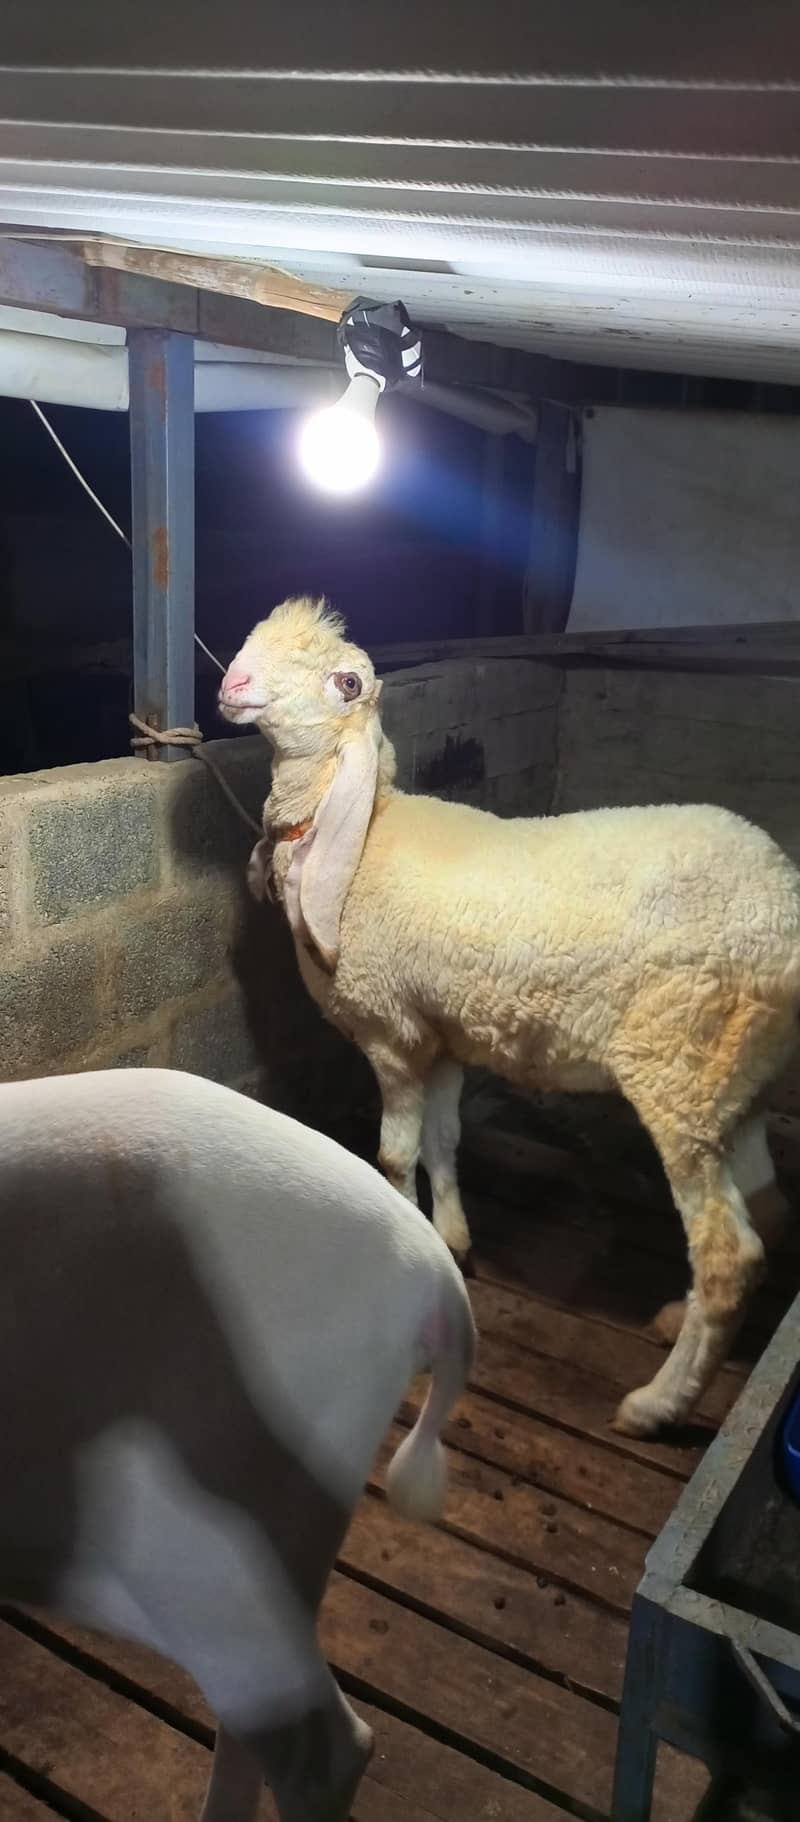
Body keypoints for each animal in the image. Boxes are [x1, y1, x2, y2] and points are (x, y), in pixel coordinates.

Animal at [219, 596, 800, 1440]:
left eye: (347, 682)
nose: (232, 683)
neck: (362, 838)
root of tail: (784, 901)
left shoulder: (390, 1034)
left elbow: (393, 1156)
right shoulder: (441, 1034)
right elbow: (444, 1140)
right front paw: (453, 1239)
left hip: (679, 1068)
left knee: (730, 1257)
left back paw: (655, 1405)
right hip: (735, 1079)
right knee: (769, 1208)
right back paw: (674, 1321)